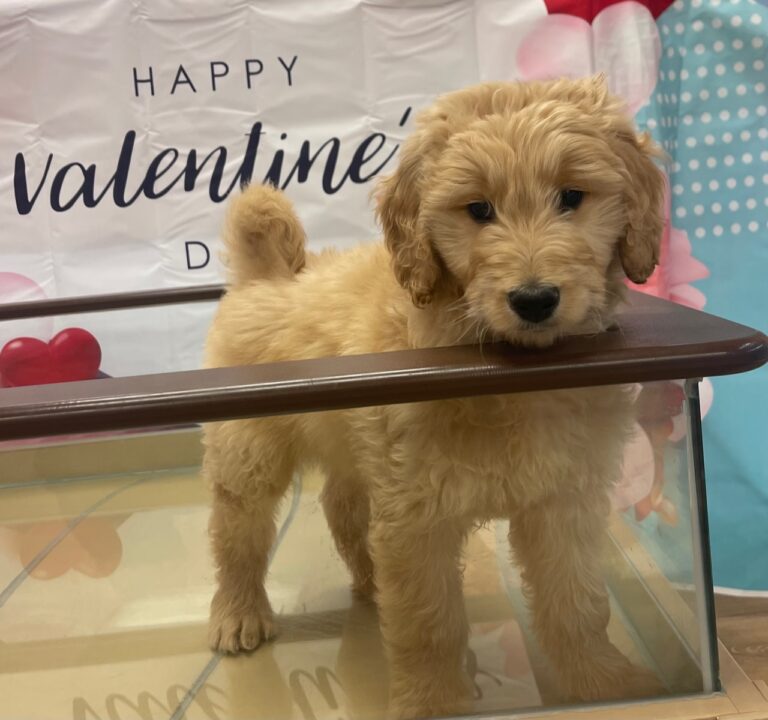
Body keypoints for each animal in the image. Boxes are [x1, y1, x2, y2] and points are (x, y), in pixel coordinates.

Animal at [204, 76, 664, 716]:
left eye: (572, 196)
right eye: (479, 210)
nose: (534, 299)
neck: (500, 364)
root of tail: (266, 275)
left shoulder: (561, 503)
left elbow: (577, 603)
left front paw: (603, 684)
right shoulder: (416, 520)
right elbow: (428, 624)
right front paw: (433, 702)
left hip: (356, 453)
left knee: (342, 507)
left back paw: (369, 581)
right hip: (248, 453)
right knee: (238, 533)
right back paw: (239, 612)